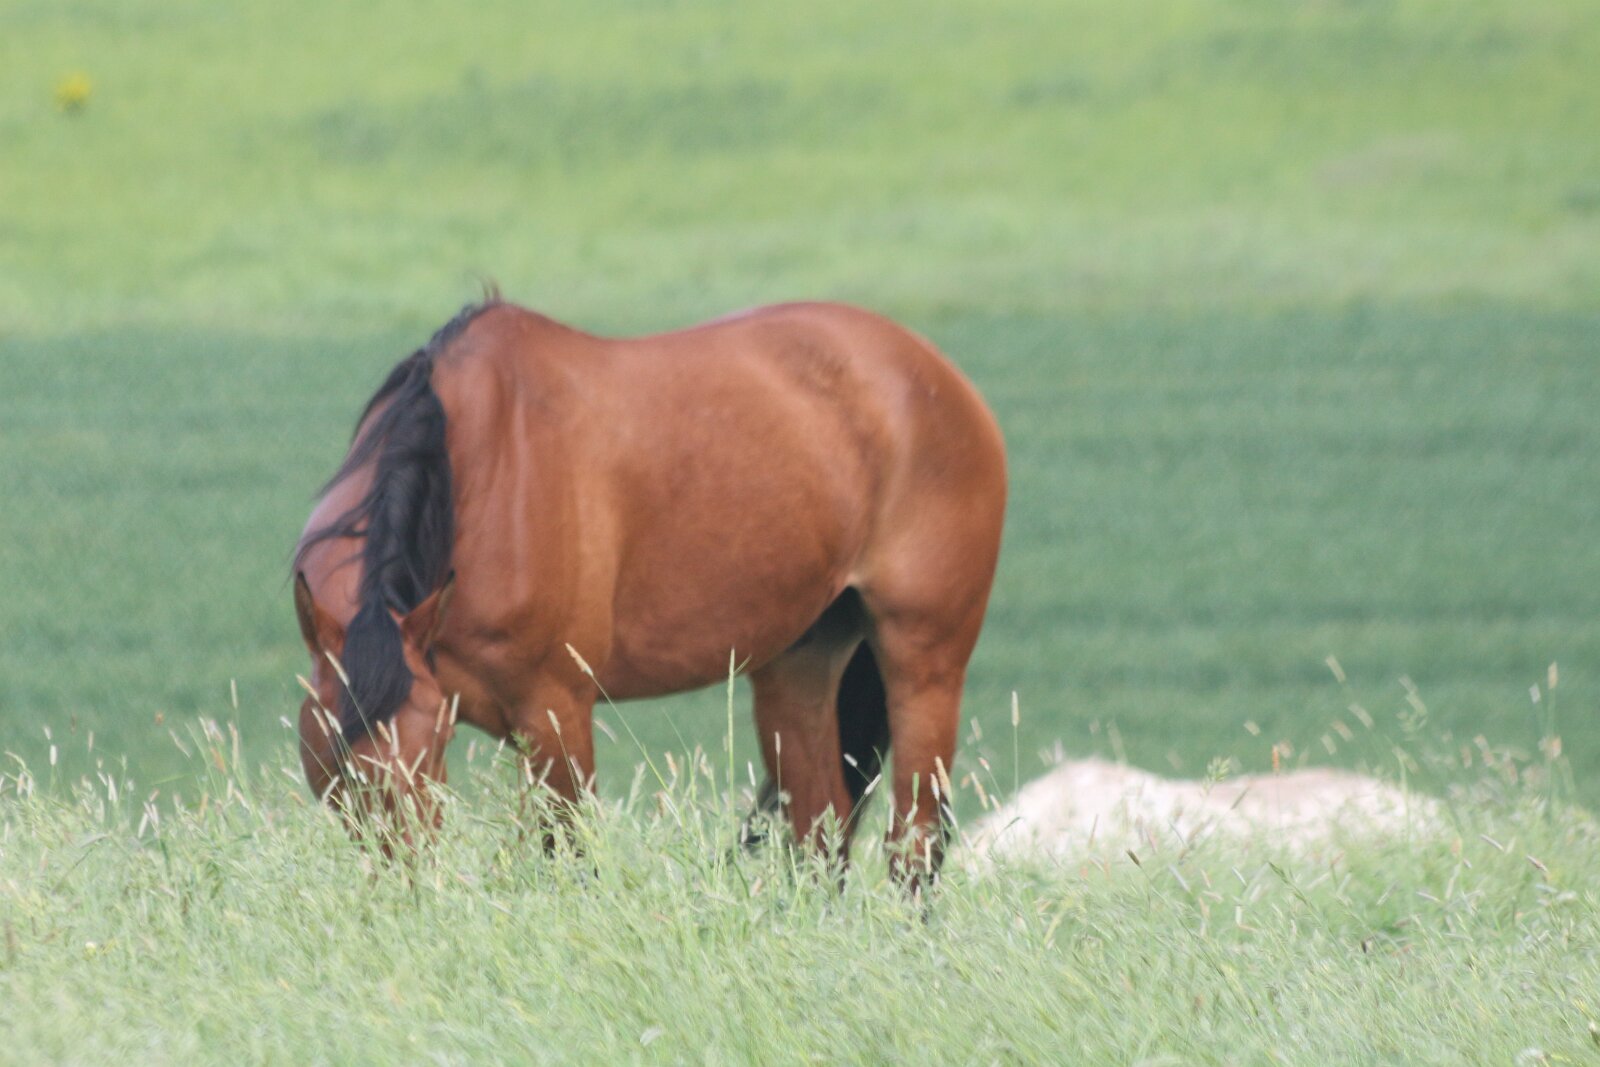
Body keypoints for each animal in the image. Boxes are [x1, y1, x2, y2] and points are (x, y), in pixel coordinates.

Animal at [291, 296, 1006, 883]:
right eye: (335, 749)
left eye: (436, 746)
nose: (405, 874)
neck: (472, 473)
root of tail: (937, 374)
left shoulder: (554, 711)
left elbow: (570, 857)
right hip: (799, 663)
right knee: (819, 833)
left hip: (923, 661)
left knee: (915, 840)